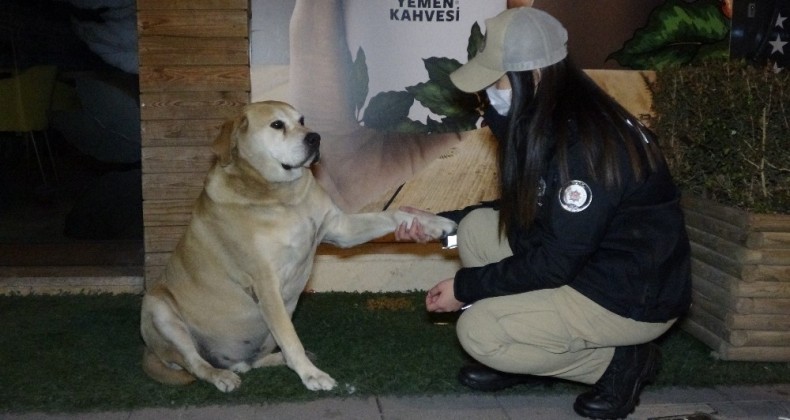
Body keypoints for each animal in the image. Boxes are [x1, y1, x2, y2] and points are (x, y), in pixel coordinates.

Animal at [142, 100, 458, 392]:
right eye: (277, 125)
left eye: (302, 120)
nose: (315, 138)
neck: (285, 197)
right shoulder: (266, 282)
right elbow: (289, 335)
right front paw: (312, 375)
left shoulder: (340, 229)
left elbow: (393, 214)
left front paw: (434, 224)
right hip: (159, 310)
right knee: (196, 363)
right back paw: (222, 376)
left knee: (250, 362)